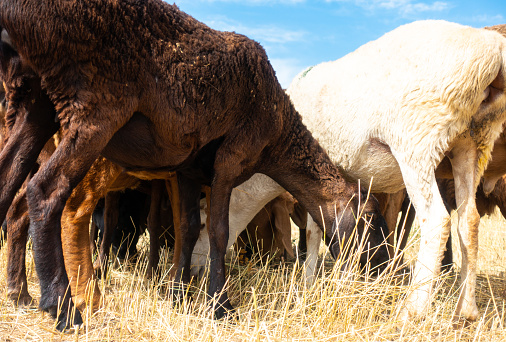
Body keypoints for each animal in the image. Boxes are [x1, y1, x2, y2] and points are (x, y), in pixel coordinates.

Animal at [0, 0, 390, 332]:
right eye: (371, 220)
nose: (385, 273)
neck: (278, 132)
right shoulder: (230, 160)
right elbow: (218, 232)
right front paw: (221, 306)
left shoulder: (188, 170)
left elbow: (187, 228)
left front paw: (178, 294)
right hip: (94, 106)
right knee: (46, 193)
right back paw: (63, 308)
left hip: (34, 102)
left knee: (9, 187)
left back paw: (19, 294)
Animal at [286, 20, 506, 320]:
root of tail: (495, 51)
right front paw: (344, 278)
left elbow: (313, 229)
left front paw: (309, 281)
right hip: (473, 143)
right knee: (468, 221)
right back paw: (466, 309)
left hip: (418, 138)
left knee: (437, 220)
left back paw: (413, 311)